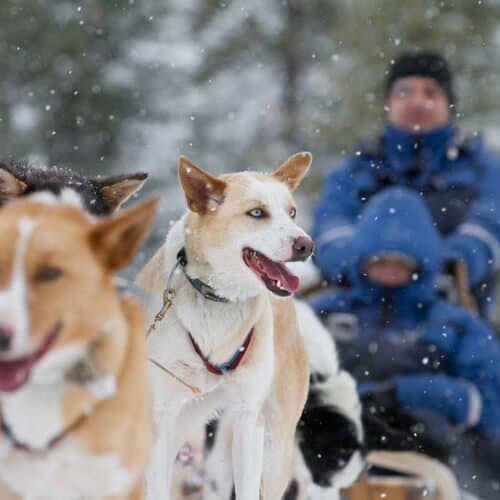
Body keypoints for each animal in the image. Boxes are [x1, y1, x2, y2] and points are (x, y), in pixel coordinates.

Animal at [137, 153, 316, 500]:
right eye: (257, 212)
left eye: (292, 212)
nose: (306, 245)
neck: (217, 298)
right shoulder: (160, 414)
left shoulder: (248, 418)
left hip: (274, 444)